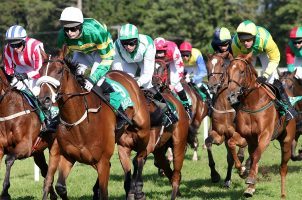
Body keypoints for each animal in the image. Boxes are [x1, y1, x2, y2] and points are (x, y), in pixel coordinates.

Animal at [38, 48, 150, 200]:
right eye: (40, 71)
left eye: (59, 71)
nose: (44, 100)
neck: (79, 122)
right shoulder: (68, 156)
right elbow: (60, 187)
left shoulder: (102, 161)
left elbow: (104, 191)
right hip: (122, 142)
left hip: (142, 131)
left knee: (140, 157)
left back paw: (138, 189)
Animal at [204, 52, 247, 188]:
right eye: (207, 65)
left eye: (222, 65)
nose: (212, 86)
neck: (226, 106)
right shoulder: (219, 134)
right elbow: (208, 143)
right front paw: (214, 175)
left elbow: (240, 153)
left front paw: (243, 169)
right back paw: (227, 179)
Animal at [226, 52, 294, 198]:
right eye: (227, 72)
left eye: (241, 71)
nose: (231, 96)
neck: (252, 103)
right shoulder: (246, 136)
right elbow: (231, 143)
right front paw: (243, 170)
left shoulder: (265, 136)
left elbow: (257, 155)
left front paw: (250, 177)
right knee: (253, 157)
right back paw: (250, 188)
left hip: (286, 142)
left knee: (283, 168)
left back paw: (283, 194)